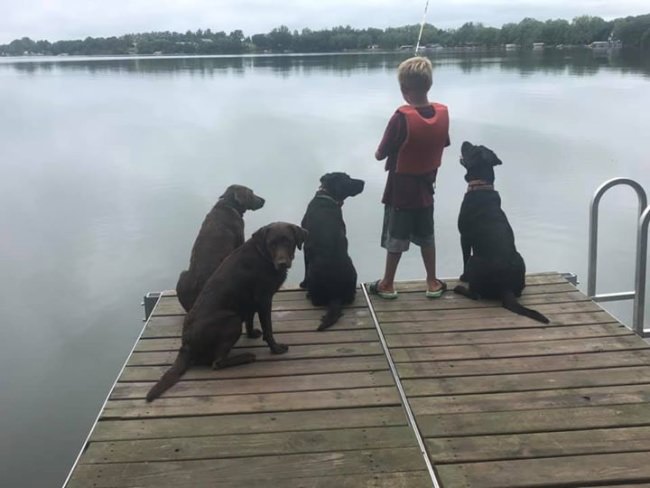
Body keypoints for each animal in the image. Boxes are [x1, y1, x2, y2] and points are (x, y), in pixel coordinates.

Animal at [146, 223, 308, 402]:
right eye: (272, 243)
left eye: (288, 242)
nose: (282, 263)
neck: (263, 255)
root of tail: (186, 345)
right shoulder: (264, 299)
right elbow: (268, 329)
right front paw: (276, 348)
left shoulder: (250, 301)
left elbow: (250, 320)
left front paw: (252, 334)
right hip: (233, 320)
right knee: (217, 362)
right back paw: (246, 357)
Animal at [300, 173, 364, 332]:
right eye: (348, 179)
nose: (363, 182)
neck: (327, 196)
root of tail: (335, 296)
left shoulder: (304, 247)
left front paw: (302, 284)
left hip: (313, 274)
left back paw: (308, 294)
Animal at [456, 141, 548, 324]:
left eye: (473, 148)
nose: (465, 142)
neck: (481, 185)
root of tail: (505, 287)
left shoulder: (464, 237)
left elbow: (463, 257)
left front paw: (462, 277)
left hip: (474, 260)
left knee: (476, 294)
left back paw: (459, 288)